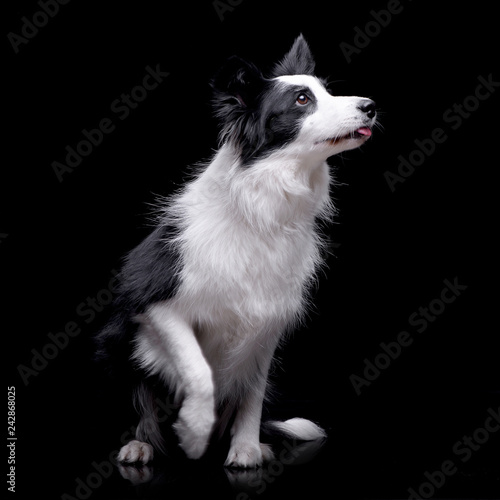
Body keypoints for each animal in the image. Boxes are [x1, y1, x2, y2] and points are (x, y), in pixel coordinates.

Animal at [96, 35, 376, 468]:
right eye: (301, 99)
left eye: (327, 92)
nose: (371, 106)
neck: (261, 208)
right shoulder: (156, 304)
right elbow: (198, 370)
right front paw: (194, 433)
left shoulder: (267, 322)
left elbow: (252, 393)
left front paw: (245, 447)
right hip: (114, 346)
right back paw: (141, 443)